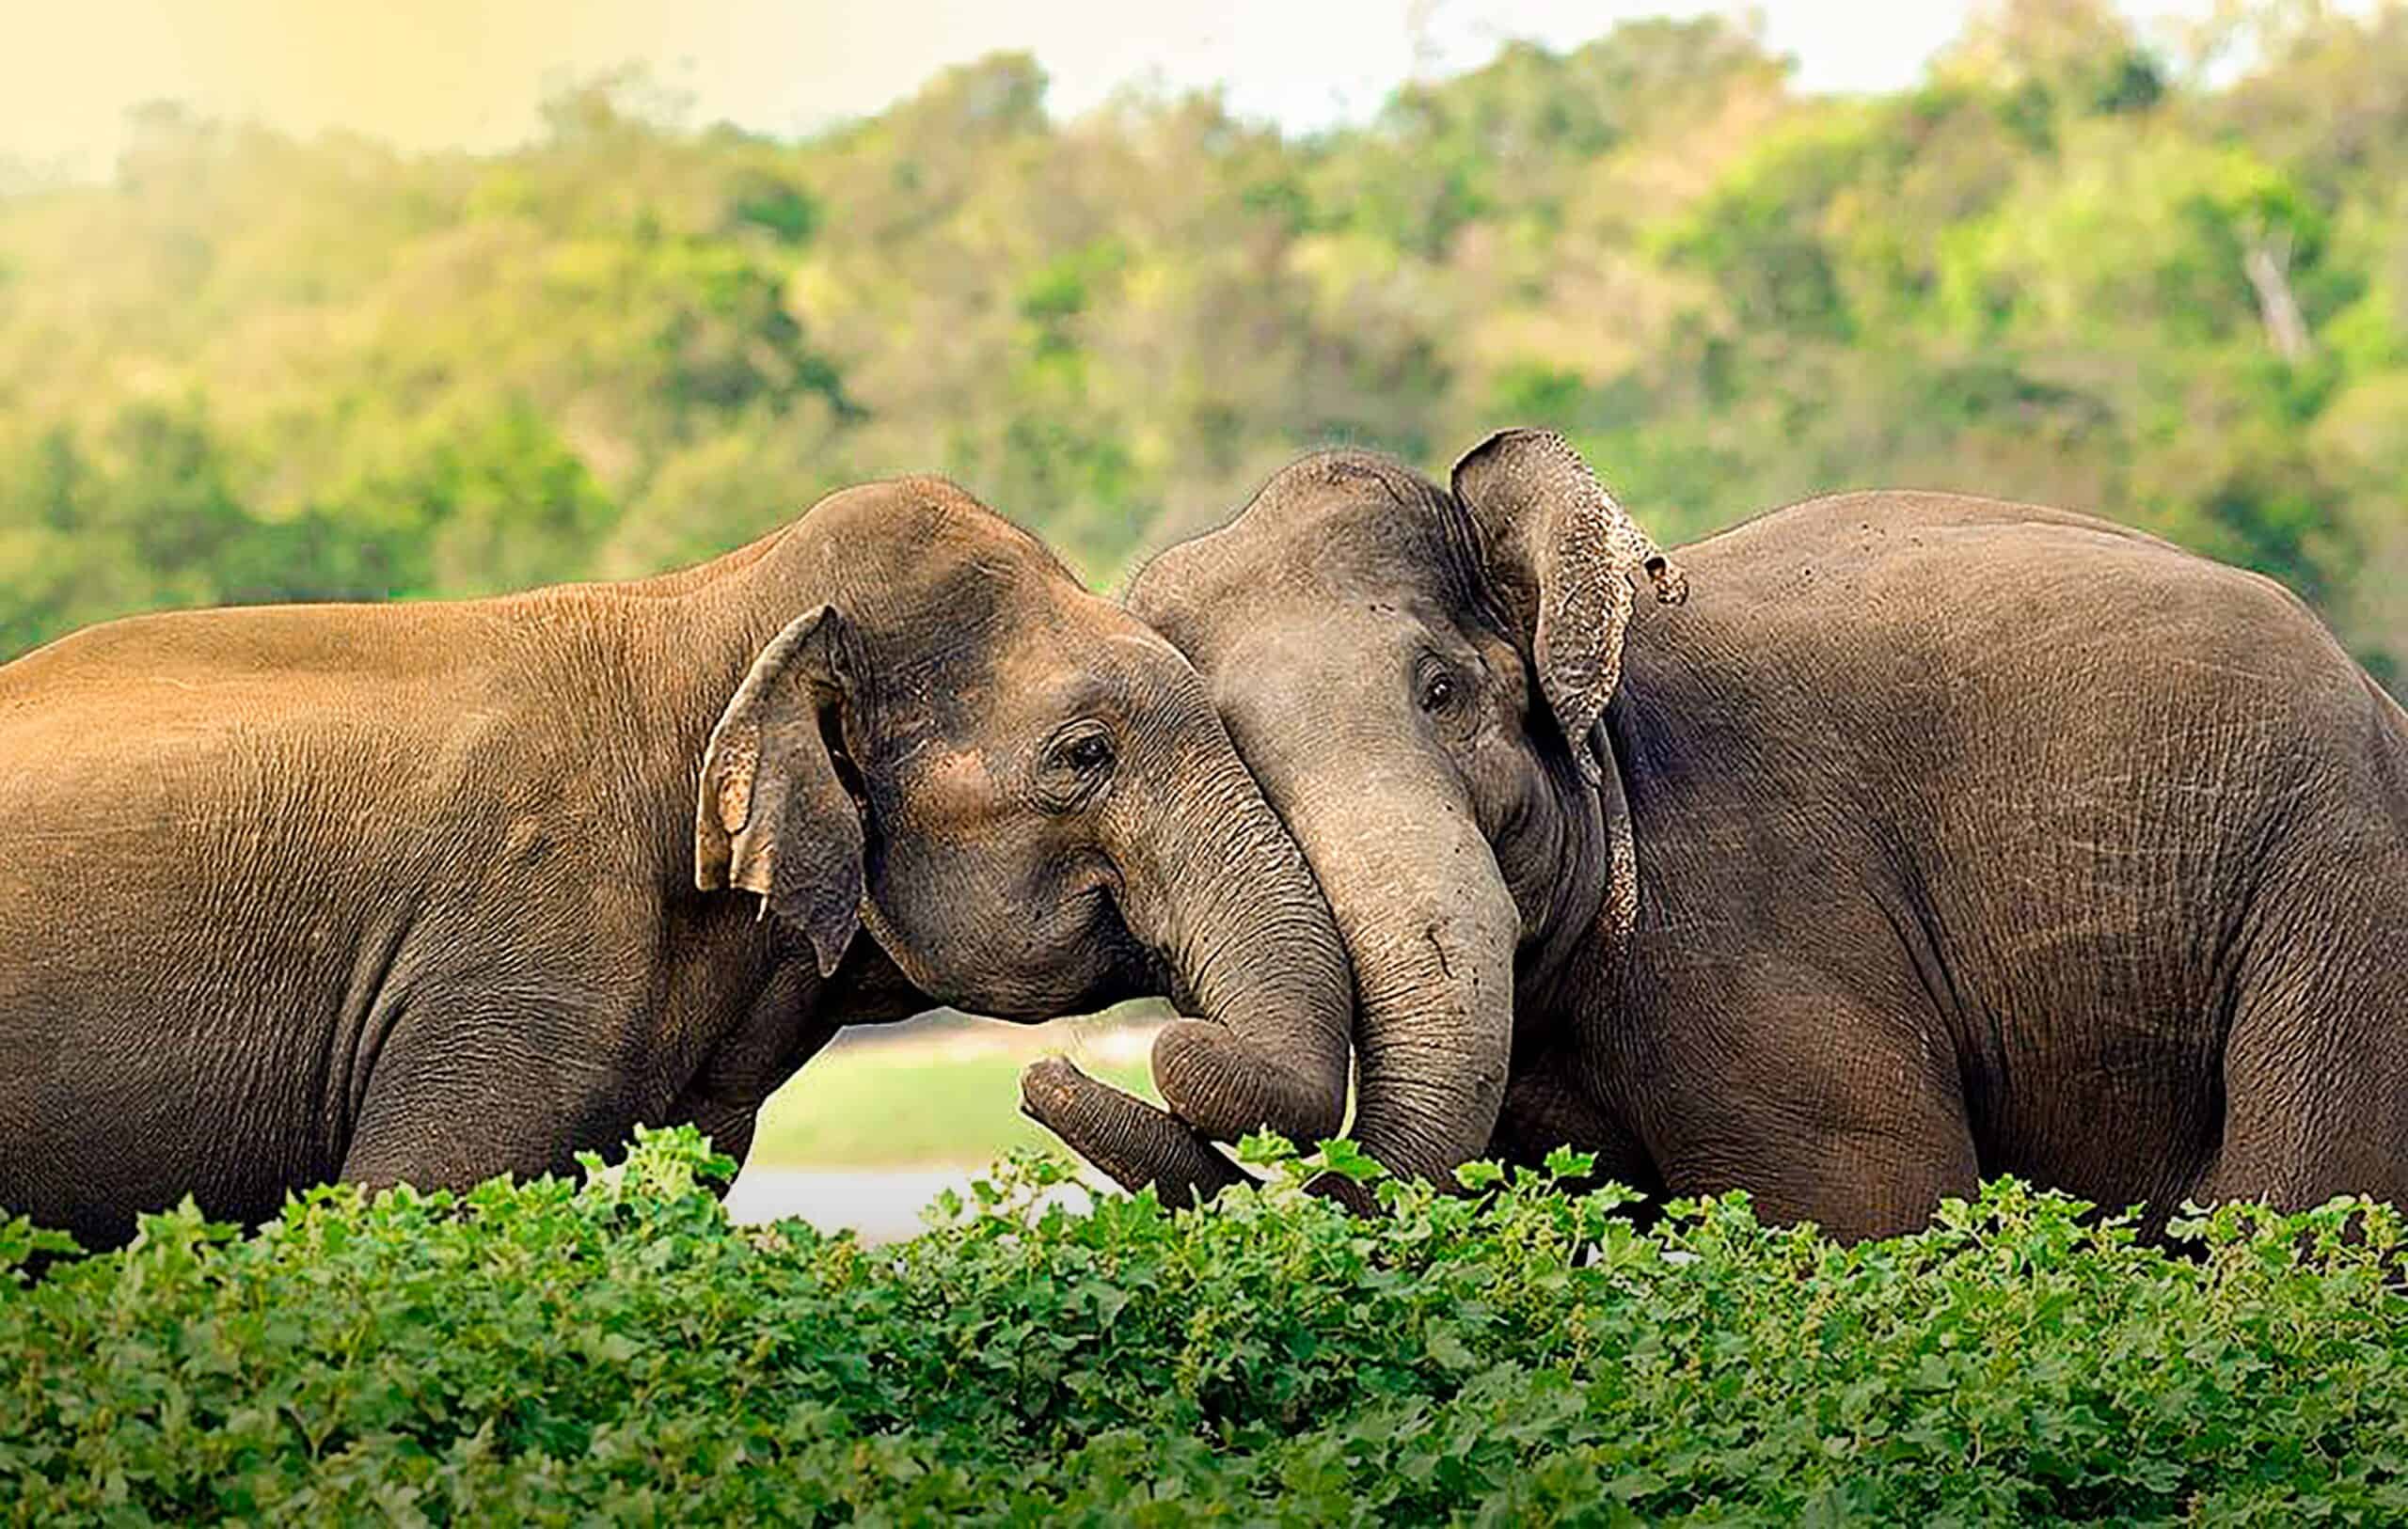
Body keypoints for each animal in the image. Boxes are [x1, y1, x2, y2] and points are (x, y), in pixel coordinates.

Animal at [1025, 431, 2408, 1242]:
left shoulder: (1762, 922)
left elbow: (1870, 1209)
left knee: (2301, 1211)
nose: (1050, 1076)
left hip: (2340, 895)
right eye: (1236, 751)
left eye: (1443, 692)